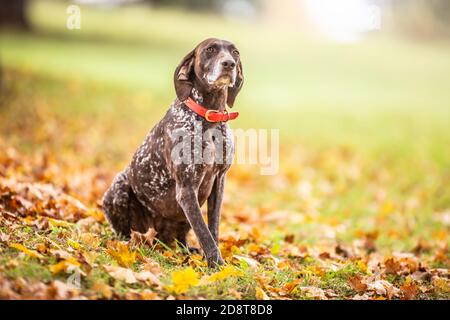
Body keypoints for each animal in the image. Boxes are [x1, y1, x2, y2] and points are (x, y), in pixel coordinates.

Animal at [102, 38, 243, 268]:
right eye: (210, 49)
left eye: (235, 53)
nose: (229, 64)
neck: (209, 117)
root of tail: (159, 238)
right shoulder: (186, 189)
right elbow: (204, 232)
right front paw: (216, 265)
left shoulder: (218, 182)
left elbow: (212, 228)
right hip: (119, 187)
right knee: (127, 233)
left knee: (181, 238)